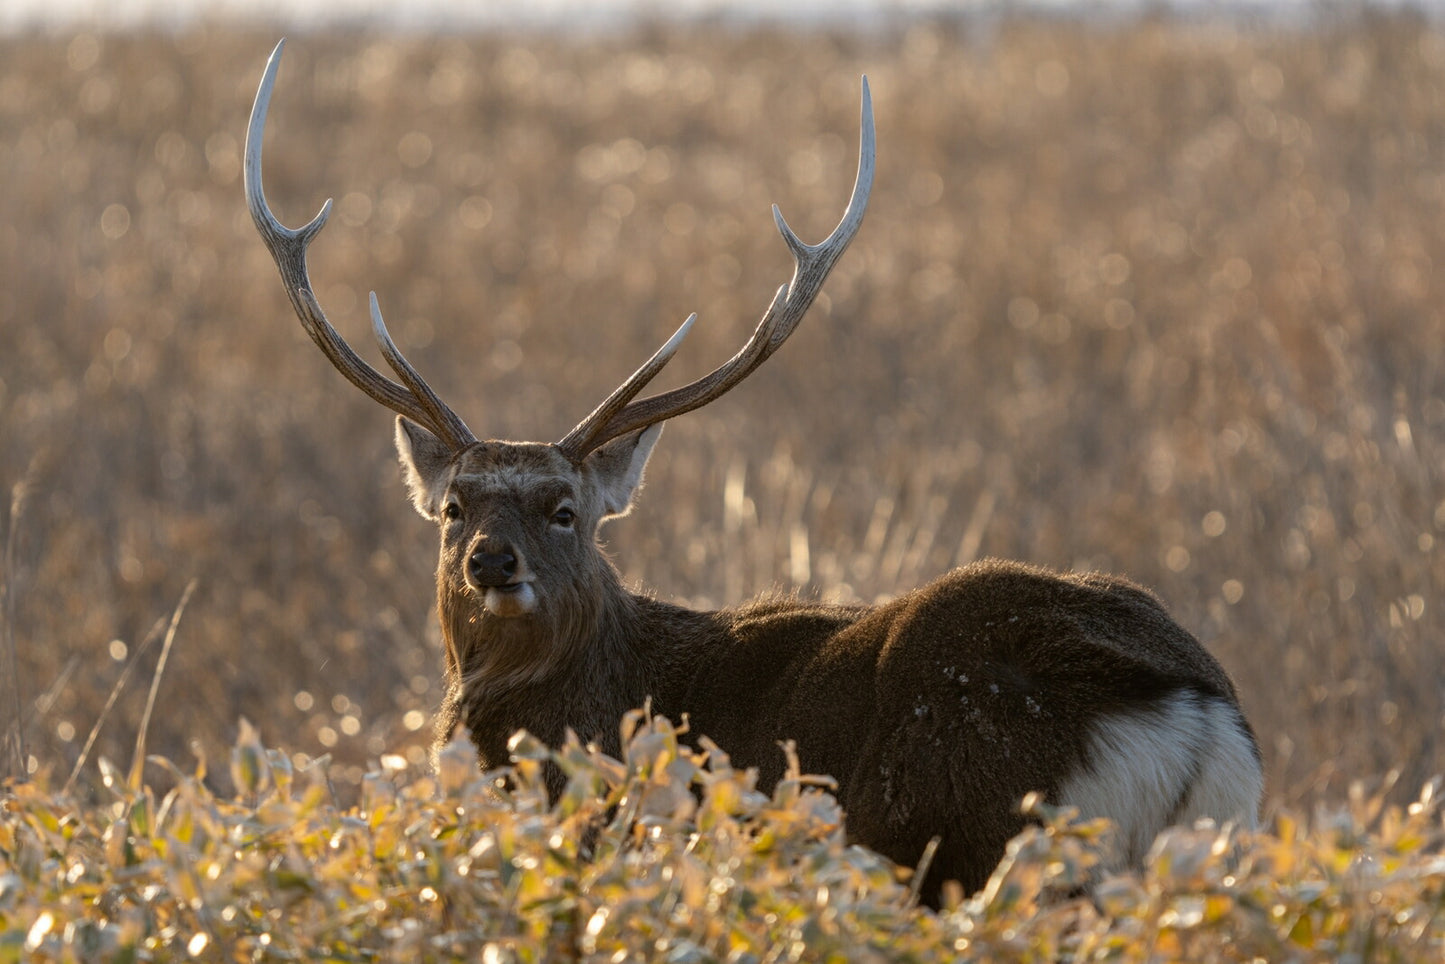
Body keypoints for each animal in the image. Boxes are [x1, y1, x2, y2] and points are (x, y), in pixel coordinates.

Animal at [244, 40, 1262, 904]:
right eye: (454, 505)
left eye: (565, 509)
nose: (491, 562)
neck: (589, 709)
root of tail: (1193, 712)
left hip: (980, 844)